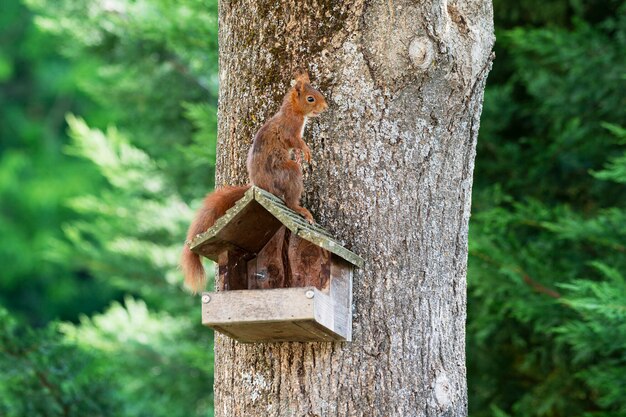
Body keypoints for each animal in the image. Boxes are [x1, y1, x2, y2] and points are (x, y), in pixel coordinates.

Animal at [179, 71, 326, 290]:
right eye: (310, 98)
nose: (325, 107)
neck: (292, 111)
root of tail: (259, 186)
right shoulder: (290, 129)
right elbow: (294, 141)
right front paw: (305, 150)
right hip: (286, 174)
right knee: (290, 197)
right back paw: (301, 209)